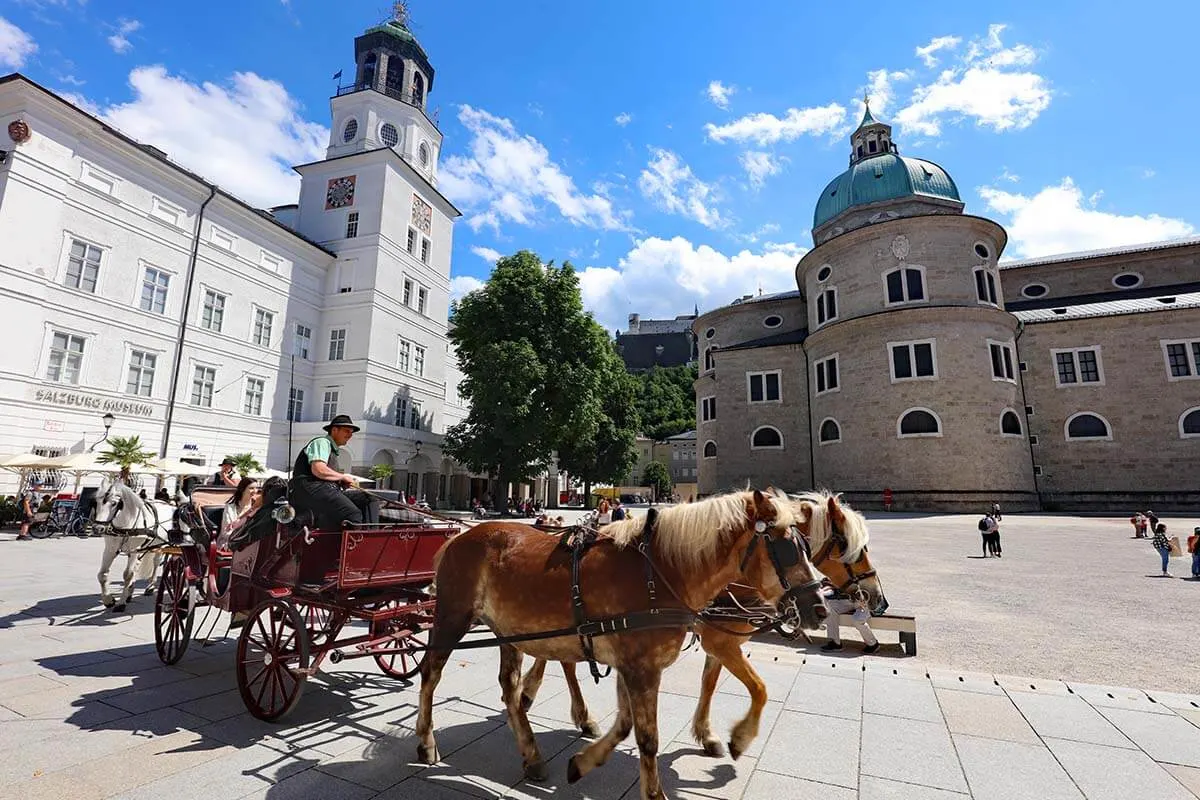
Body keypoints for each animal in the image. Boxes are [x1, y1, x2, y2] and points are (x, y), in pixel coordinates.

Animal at [93, 482, 174, 614]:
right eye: (97, 502)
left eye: (114, 503)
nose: (97, 528)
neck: (124, 525)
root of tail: (168, 504)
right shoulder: (110, 549)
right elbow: (102, 575)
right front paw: (108, 600)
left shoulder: (135, 550)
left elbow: (128, 575)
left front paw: (121, 603)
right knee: (138, 565)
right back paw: (131, 591)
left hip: (160, 546)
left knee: (156, 563)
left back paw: (150, 586)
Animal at [412, 489, 825, 800]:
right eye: (787, 548)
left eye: (808, 546)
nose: (818, 608)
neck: (661, 572)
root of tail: (458, 536)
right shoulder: (643, 667)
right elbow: (647, 737)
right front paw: (657, 790)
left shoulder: (633, 663)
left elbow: (626, 724)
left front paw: (583, 761)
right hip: (452, 616)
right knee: (431, 672)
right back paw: (427, 740)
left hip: (509, 630)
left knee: (510, 687)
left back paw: (532, 753)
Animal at [520, 489, 888, 762]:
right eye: (848, 546)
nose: (877, 598)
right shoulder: (720, 641)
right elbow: (758, 688)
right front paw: (740, 738)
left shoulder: (722, 640)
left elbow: (709, 683)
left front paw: (706, 734)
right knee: (563, 659)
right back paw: (562, 706)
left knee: (557, 654)